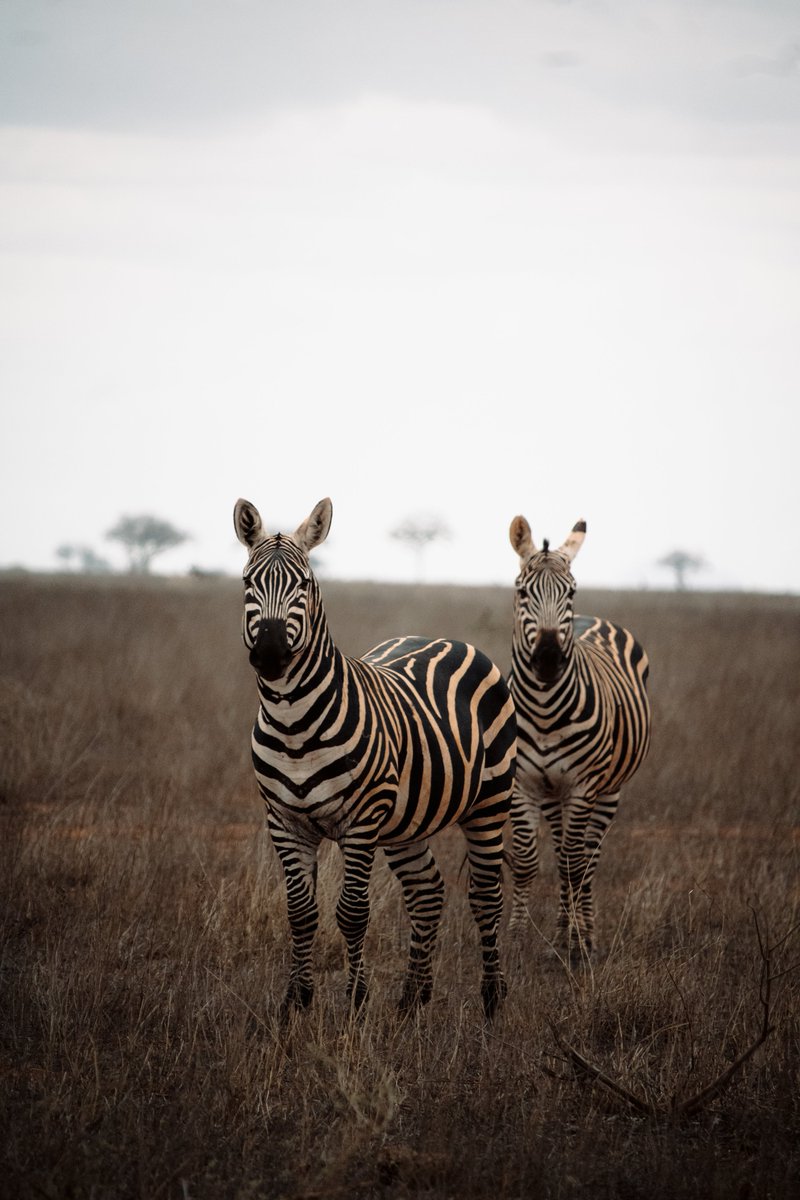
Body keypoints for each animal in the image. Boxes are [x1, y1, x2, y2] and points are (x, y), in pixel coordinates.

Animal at [234, 496, 517, 1018]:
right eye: (248, 583)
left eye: (305, 584)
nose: (270, 654)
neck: (292, 722)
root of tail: (445, 638)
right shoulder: (284, 821)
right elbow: (300, 913)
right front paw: (296, 1002)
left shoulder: (361, 821)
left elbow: (352, 912)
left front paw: (356, 1003)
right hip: (407, 821)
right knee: (427, 890)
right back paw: (412, 999)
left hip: (489, 800)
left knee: (486, 896)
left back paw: (492, 1000)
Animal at [507, 515, 650, 957]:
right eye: (522, 592)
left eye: (570, 591)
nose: (549, 659)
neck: (544, 708)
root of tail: (593, 619)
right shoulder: (523, 785)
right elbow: (526, 862)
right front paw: (516, 939)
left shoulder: (584, 785)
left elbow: (574, 865)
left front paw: (571, 943)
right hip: (554, 794)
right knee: (562, 850)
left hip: (608, 790)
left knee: (587, 857)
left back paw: (584, 933)